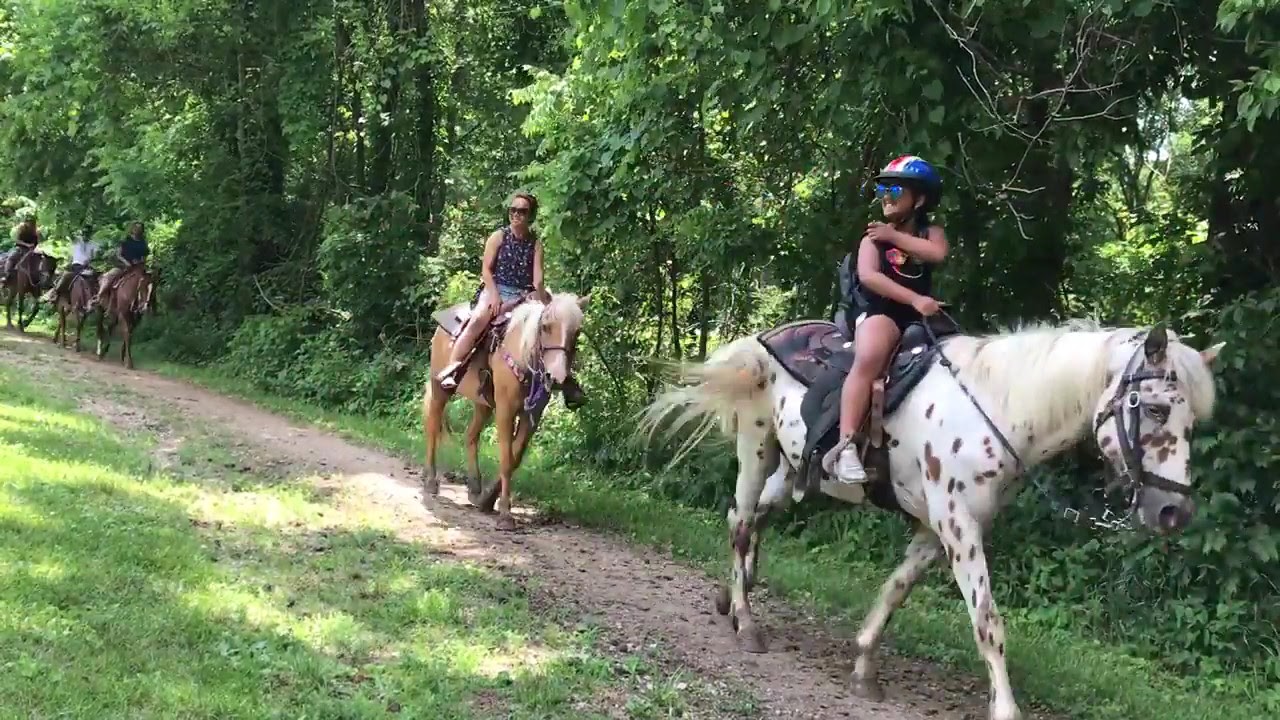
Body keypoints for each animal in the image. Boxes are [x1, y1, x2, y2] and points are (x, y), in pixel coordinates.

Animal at [427, 288, 591, 530]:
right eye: (545, 326)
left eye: (577, 332)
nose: (556, 377)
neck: (522, 354)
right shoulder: (506, 411)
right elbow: (505, 458)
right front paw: (505, 512)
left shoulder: (532, 416)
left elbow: (515, 457)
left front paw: (487, 500)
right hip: (440, 389)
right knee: (432, 426)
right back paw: (430, 480)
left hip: (483, 404)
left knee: (470, 436)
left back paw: (474, 488)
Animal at [637, 312, 1218, 717]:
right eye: (1157, 409)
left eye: (1194, 424)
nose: (1174, 511)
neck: (995, 406)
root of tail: (762, 340)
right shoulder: (958, 526)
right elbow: (987, 620)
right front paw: (1005, 709)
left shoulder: (938, 531)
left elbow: (896, 589)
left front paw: (864, 666)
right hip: (756, 447)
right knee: (739, 521)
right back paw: (747, 621)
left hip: (790, 469)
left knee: (750, 518)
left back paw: (730, 598)